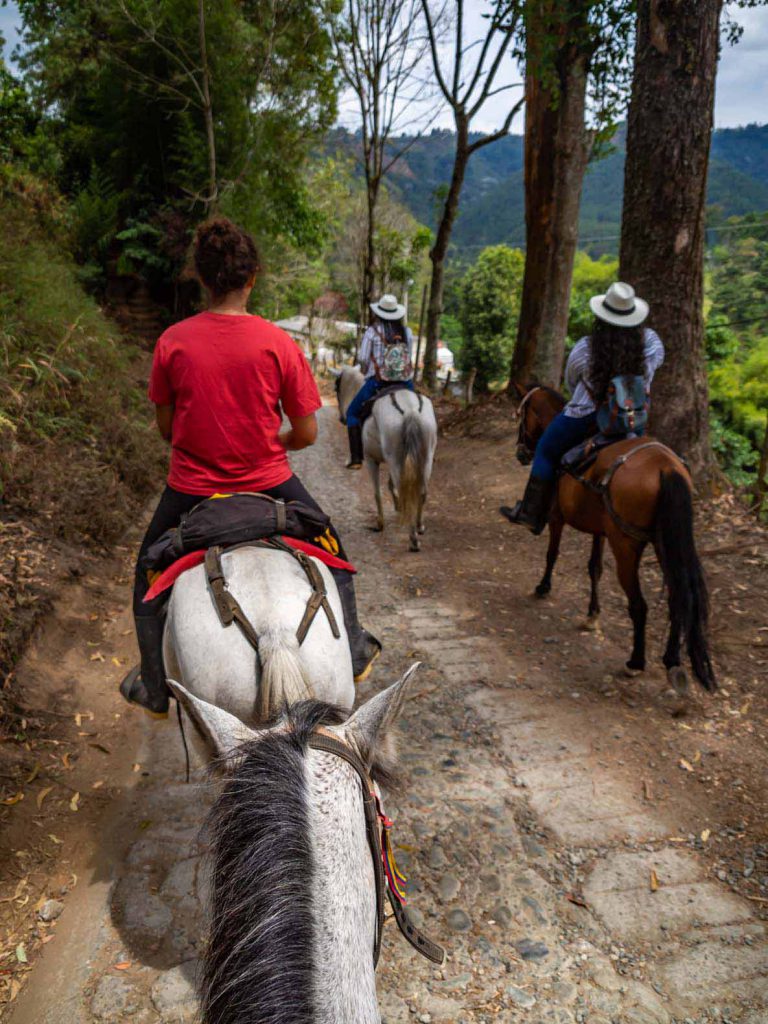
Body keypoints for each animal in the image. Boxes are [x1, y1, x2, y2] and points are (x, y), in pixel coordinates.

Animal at [335, 364, 438, 548]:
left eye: (336, 388)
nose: (342, 418)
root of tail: (410, 410)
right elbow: (390, 485)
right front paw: (398, 507)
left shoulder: (371, 459)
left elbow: (377, 493)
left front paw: (380, 523)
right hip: (423, 458)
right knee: (422, 491)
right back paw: (419, 526)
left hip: (396, 459)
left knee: (406, 489)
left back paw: (413, 539)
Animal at [514, 385, 720, 696]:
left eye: (521, 416)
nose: (520, 453)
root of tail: (666, 468)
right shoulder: (600, 529)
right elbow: (594, 568)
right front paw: (592, 615)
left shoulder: (556, 516)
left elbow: (553, 553)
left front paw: (543, 587)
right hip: (664, 544)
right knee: (678, 597)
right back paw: (672, 661)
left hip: (625, 545)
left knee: (639, 605)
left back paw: (635, 662)